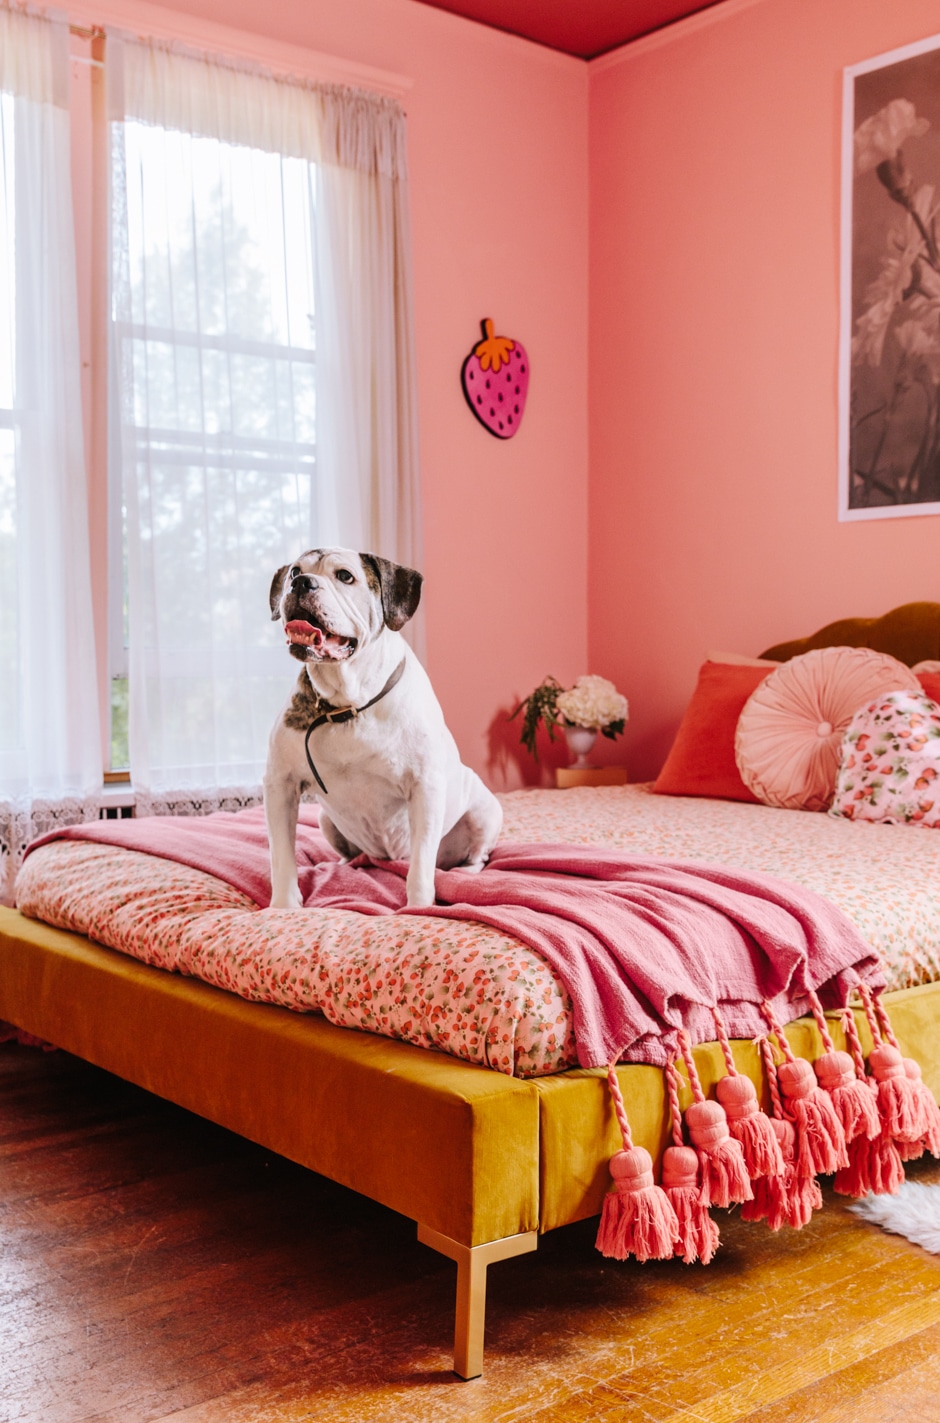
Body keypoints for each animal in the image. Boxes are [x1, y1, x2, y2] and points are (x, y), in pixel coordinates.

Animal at [260, 549, 503, 905]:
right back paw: (349, 865)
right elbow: (281, 856)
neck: (348, 704)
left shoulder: (425, 787)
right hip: (325, 819)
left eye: (345, 576)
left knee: (473, 857)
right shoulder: (281, 786)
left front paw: (419, 907)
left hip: (484, 812)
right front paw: (283, 907)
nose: (302, 582)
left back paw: (463, 873)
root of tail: (389, 858)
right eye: (294, 571)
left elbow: (421, 867)